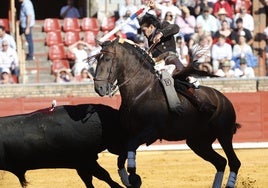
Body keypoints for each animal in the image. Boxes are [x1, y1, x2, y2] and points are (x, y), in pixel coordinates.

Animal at [93, 38, 242, 188]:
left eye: (107, 58)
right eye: (96, 59)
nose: (99, 88)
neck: (141, 91)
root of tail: (223, 99)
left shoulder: (149, 132)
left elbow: (130, 150)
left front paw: (134, 178)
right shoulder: (130, 134)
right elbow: (120, 158)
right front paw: (128, 180)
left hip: (224, 134)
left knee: (234, 162)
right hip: (198, 142)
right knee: (221, 162)